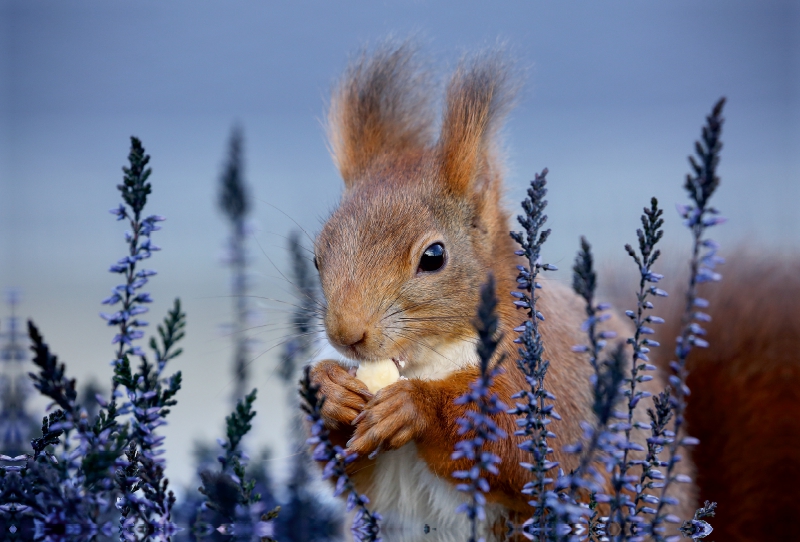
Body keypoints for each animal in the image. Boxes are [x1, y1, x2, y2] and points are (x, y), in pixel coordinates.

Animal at [304, 41, 796, 540]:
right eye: (318, 256)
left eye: (434, 256)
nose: (347, 334)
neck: (431, 359)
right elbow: (349, 473)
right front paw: (329, 391)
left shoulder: (544, 381)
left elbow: (514, 448)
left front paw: (413, 406)